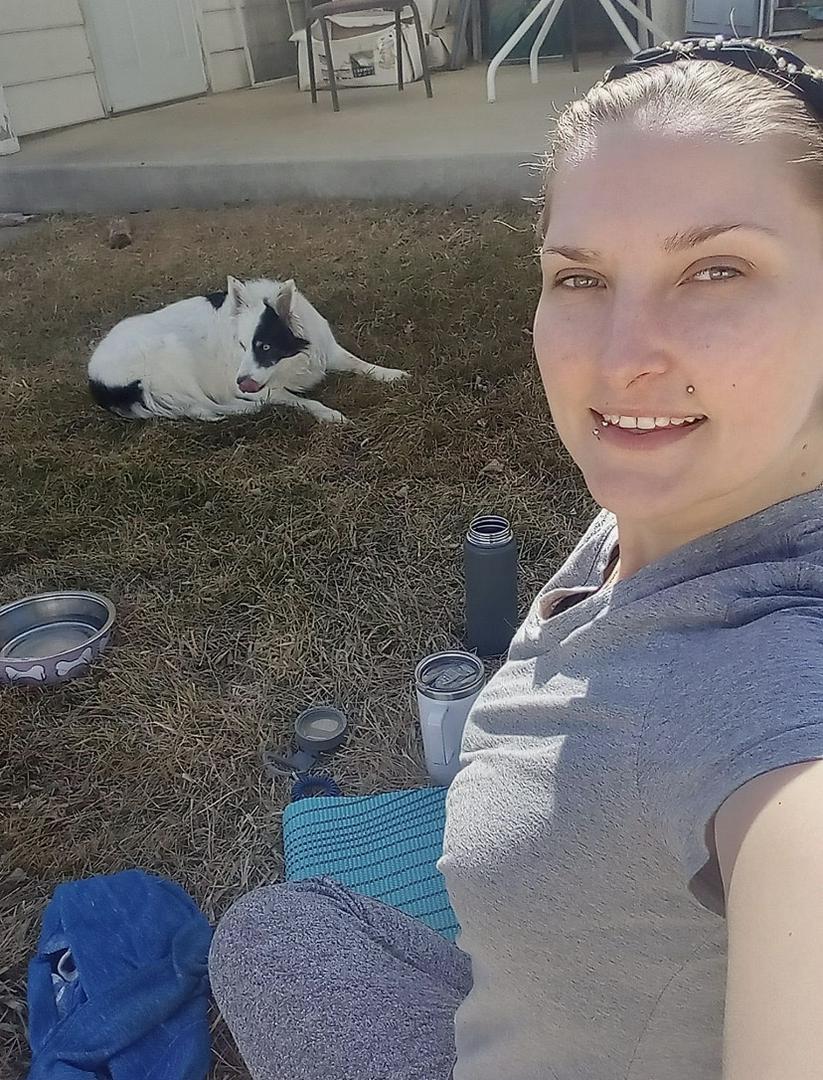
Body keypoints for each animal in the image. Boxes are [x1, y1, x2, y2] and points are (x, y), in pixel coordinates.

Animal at [87, 276, 409, 423]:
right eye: (241, 346)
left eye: (264, 346)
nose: (241, 383)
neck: (292, 361)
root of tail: (94, 378)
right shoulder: (259, 386)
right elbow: (301, 400)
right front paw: (329, 414)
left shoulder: (325, 350)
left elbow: (360, 363)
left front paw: (391, 374)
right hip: (172, 354)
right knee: (205, 408)